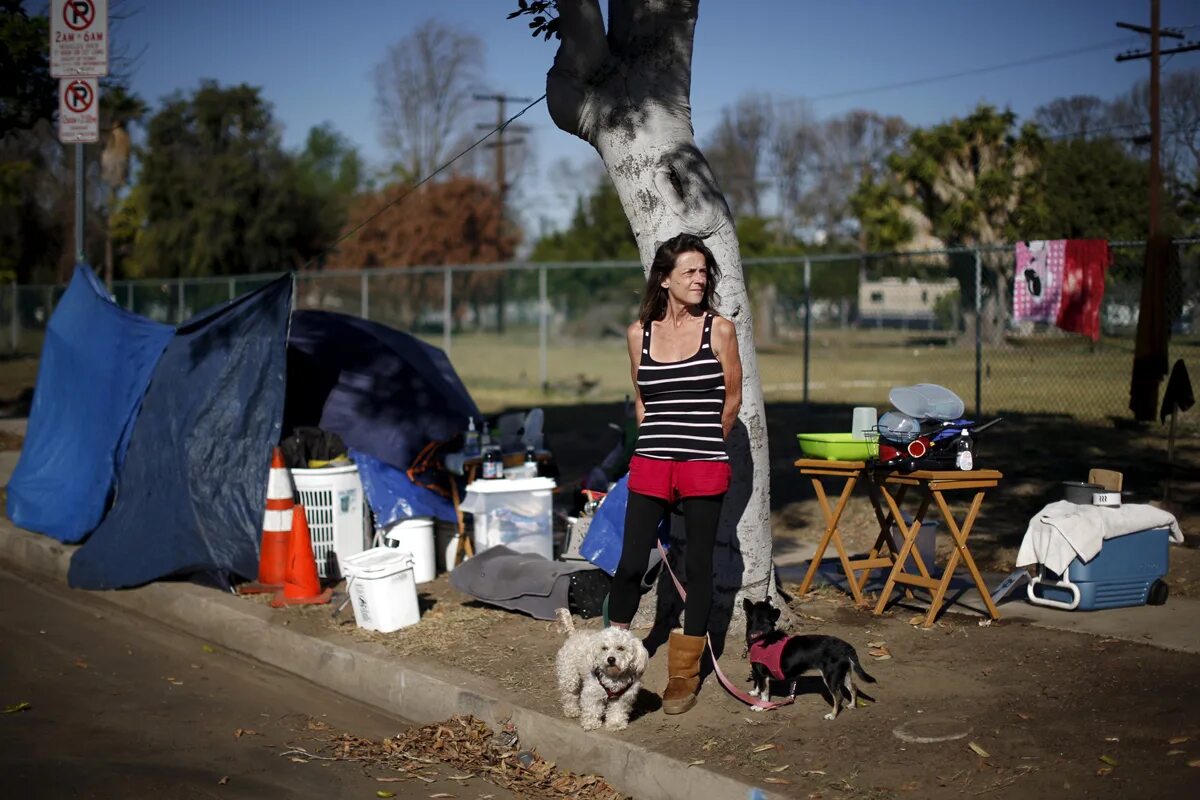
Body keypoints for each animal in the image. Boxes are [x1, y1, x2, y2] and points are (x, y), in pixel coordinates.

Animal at [744, 594, 878, 719]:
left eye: (769, 603)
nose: (769, 596)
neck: (762, 635)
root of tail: (846, 646)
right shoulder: (758, 673)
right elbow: (757, 684)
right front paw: (755, 692)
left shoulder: (763, 675)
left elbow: (764, 693)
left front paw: (760, 706)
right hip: (843, 674)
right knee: (854, 688)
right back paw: (852, 705)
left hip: (831, 677)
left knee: (838, 697)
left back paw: (832, 715)